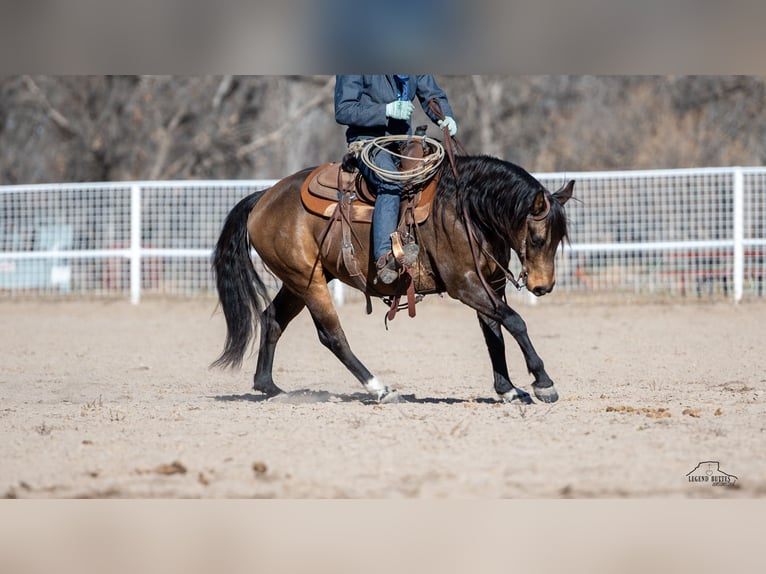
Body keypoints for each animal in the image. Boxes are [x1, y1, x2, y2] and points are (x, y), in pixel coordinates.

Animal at [213, 153, 572, 404]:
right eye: (538, 238)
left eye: (559, 239)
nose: (543, 286)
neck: (465, 211)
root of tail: (263, 197)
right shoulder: (465, 285)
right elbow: (515, 322)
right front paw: (543, 382)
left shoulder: (487, 285)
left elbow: (494, 333)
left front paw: (508, 389)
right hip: (308, 282)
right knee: (332, 336)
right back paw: (380, 389)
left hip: (299, 280)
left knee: (272, 319)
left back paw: (270, 387)